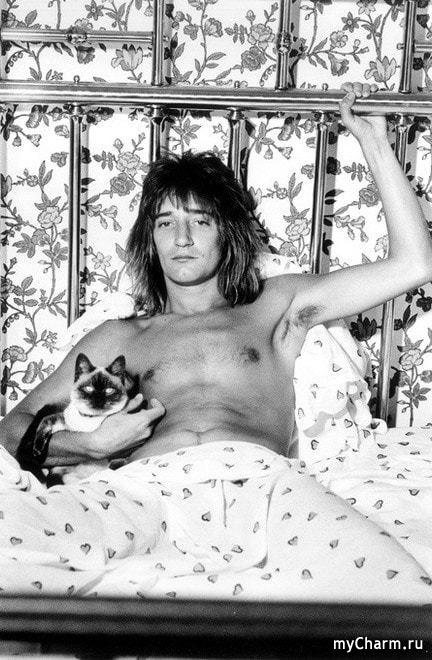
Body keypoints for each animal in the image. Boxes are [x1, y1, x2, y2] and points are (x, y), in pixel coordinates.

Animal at [16, 352, 138, 485]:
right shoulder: (64, 421)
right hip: (61, 469)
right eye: (89, 389)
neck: (89, 419)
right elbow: (45, 423)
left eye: (109, 390)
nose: (98, 400)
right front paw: (37, 451)